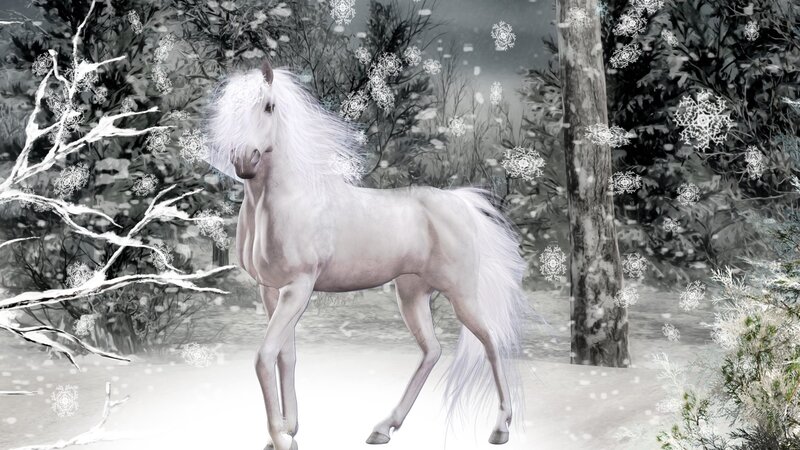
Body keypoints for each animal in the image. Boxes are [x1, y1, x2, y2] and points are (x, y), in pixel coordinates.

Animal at [208, 60, 528, 450]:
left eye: (268, 107)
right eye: (229, 110)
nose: (244, 161)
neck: (285, 201)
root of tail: (460, 203)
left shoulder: (298, 288)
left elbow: (265, 356)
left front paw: (281, 438)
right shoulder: (270, 290)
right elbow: (286, 355)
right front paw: (289, 430)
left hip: (462, 295)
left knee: (492, 342)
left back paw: (501, 427)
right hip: (411, 295)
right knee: (432, 350)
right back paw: (383, 428)